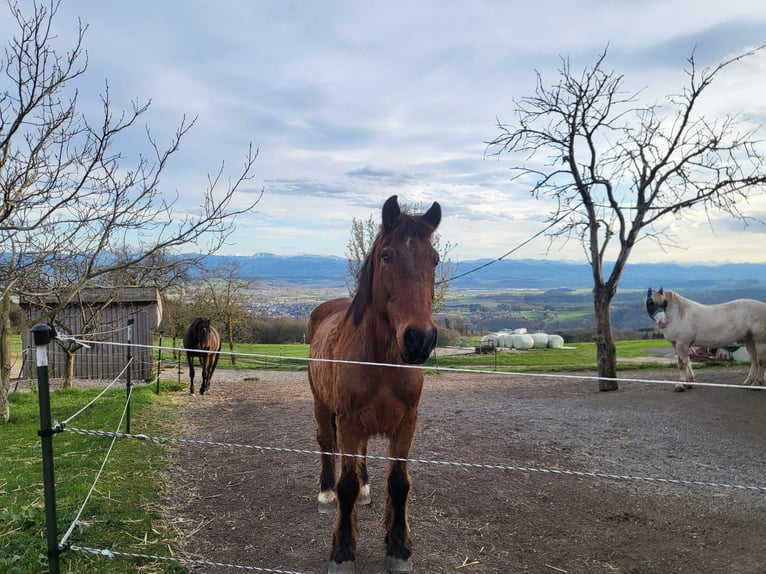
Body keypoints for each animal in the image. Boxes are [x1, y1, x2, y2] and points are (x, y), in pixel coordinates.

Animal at [308, 195, 441, 573]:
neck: (381, 361)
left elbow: (399, 484)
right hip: (322, 405)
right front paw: (342, 551)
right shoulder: (349, 421)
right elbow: (347, 485)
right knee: (326, 443)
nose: (419, 339)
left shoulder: (406, 423)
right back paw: (325, 492)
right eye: (386, 255)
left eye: (435, 259)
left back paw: (367, 489)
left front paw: (398, 548)